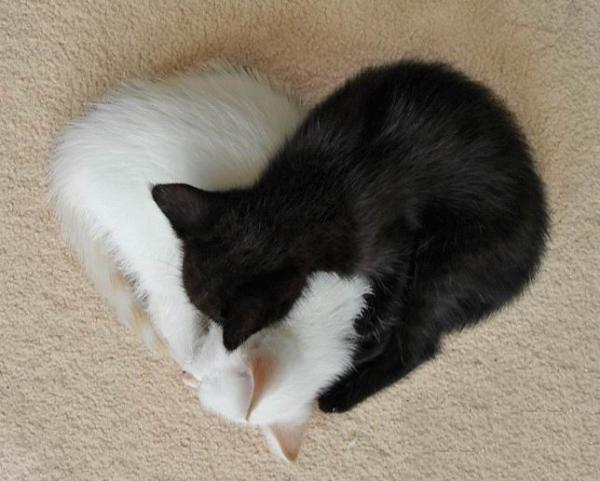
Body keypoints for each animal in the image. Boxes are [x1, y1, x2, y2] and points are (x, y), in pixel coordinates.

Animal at [153, 60, 549, 413]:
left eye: (214, 318)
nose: (207, 335)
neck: (302, 200)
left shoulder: (391, 240)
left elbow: (391, 291)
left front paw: (368, 327)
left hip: (447, 264)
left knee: (415, 346)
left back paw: (339, 390)